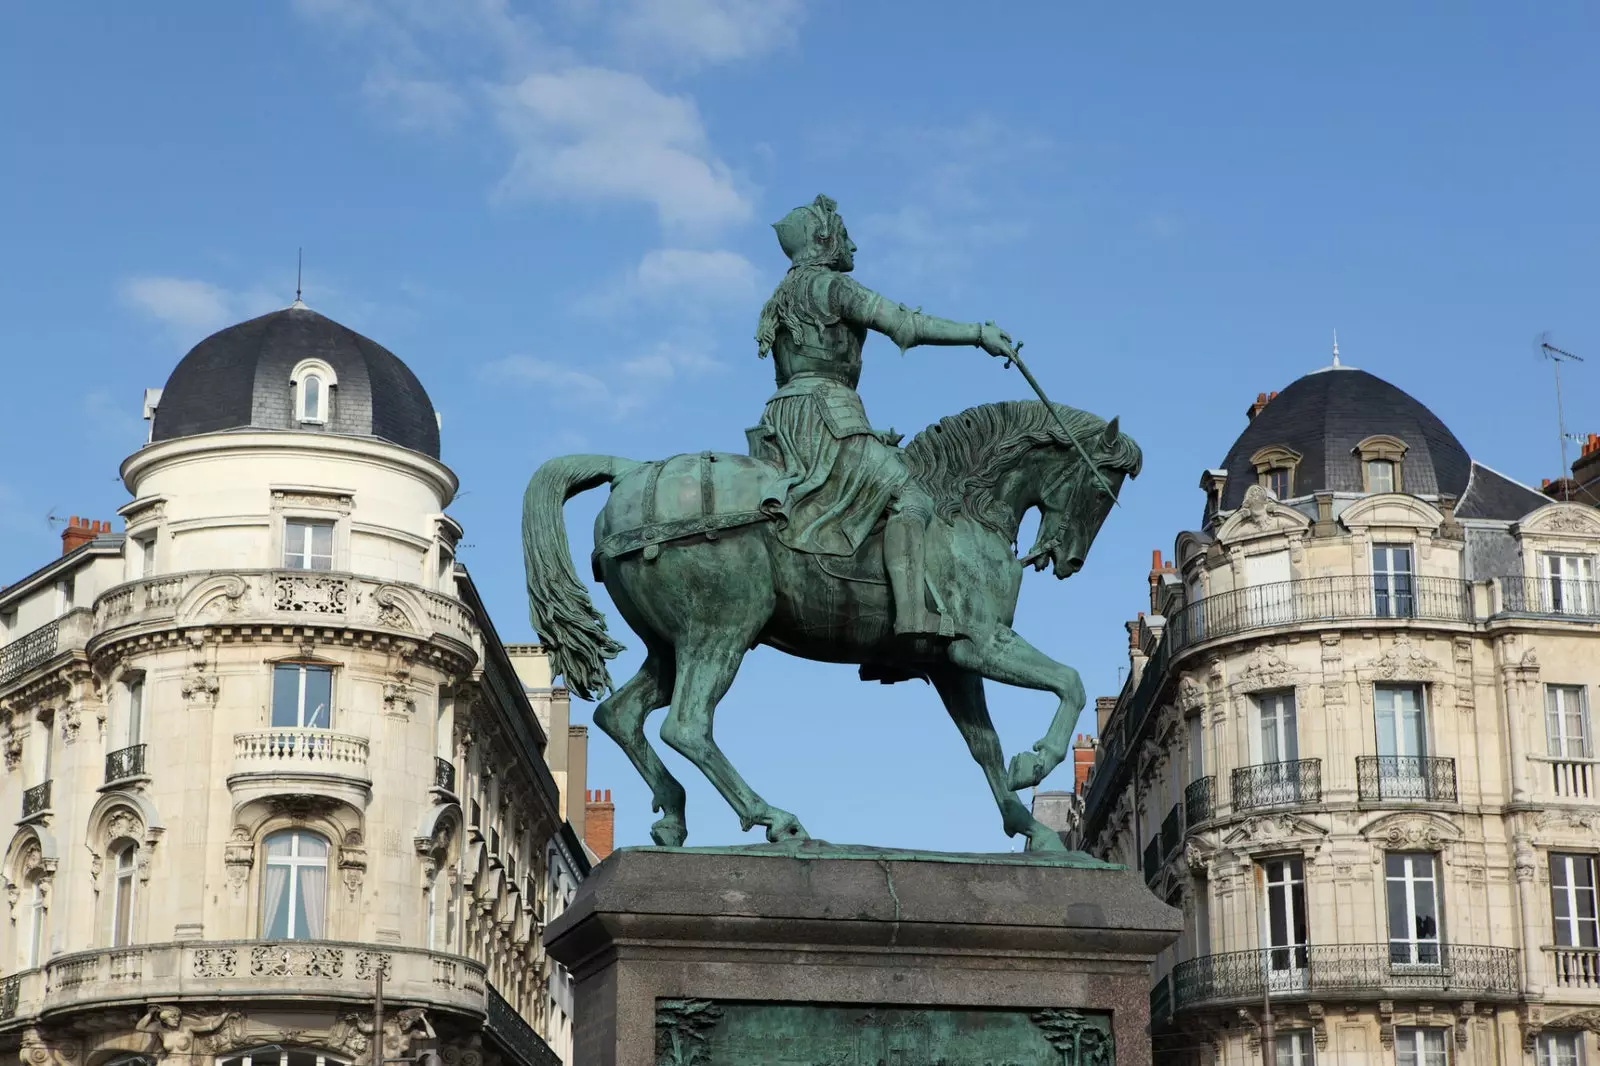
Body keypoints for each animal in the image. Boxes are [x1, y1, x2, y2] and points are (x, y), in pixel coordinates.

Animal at [521, 403, 1139, 851]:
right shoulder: (980, 645)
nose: (1068, 559)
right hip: (722, 629)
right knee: (688, 725)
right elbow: (1070, 681)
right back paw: (775, 818)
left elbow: (985, 745)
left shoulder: (949, 663)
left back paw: (674, 813)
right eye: (1100, 488)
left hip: (671, 647)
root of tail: (632, 472)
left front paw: (1026, 824)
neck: (961, 508)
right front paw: (1035, 763)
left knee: (620, 714)